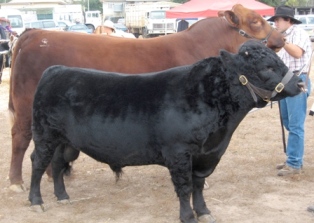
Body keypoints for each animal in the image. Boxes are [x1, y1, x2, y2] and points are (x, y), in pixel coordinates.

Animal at [9, 3, 284, 192]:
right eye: (256, 21)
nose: (281, 37)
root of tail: (34, 34)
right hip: (26, 108)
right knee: (20, 138)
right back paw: (16, 182)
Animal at [30, 40, 304, 223]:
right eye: (268, 67)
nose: (300, 83)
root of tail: (56, 70)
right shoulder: (179, 153)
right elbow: (184, 187)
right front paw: (188, 216)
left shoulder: (206, 155)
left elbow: (198, 185)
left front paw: (204, 212)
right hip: (44, 135)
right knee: (38, 162)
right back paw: (36, 201)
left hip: (66, 142)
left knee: (57, 164)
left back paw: (62, 196)